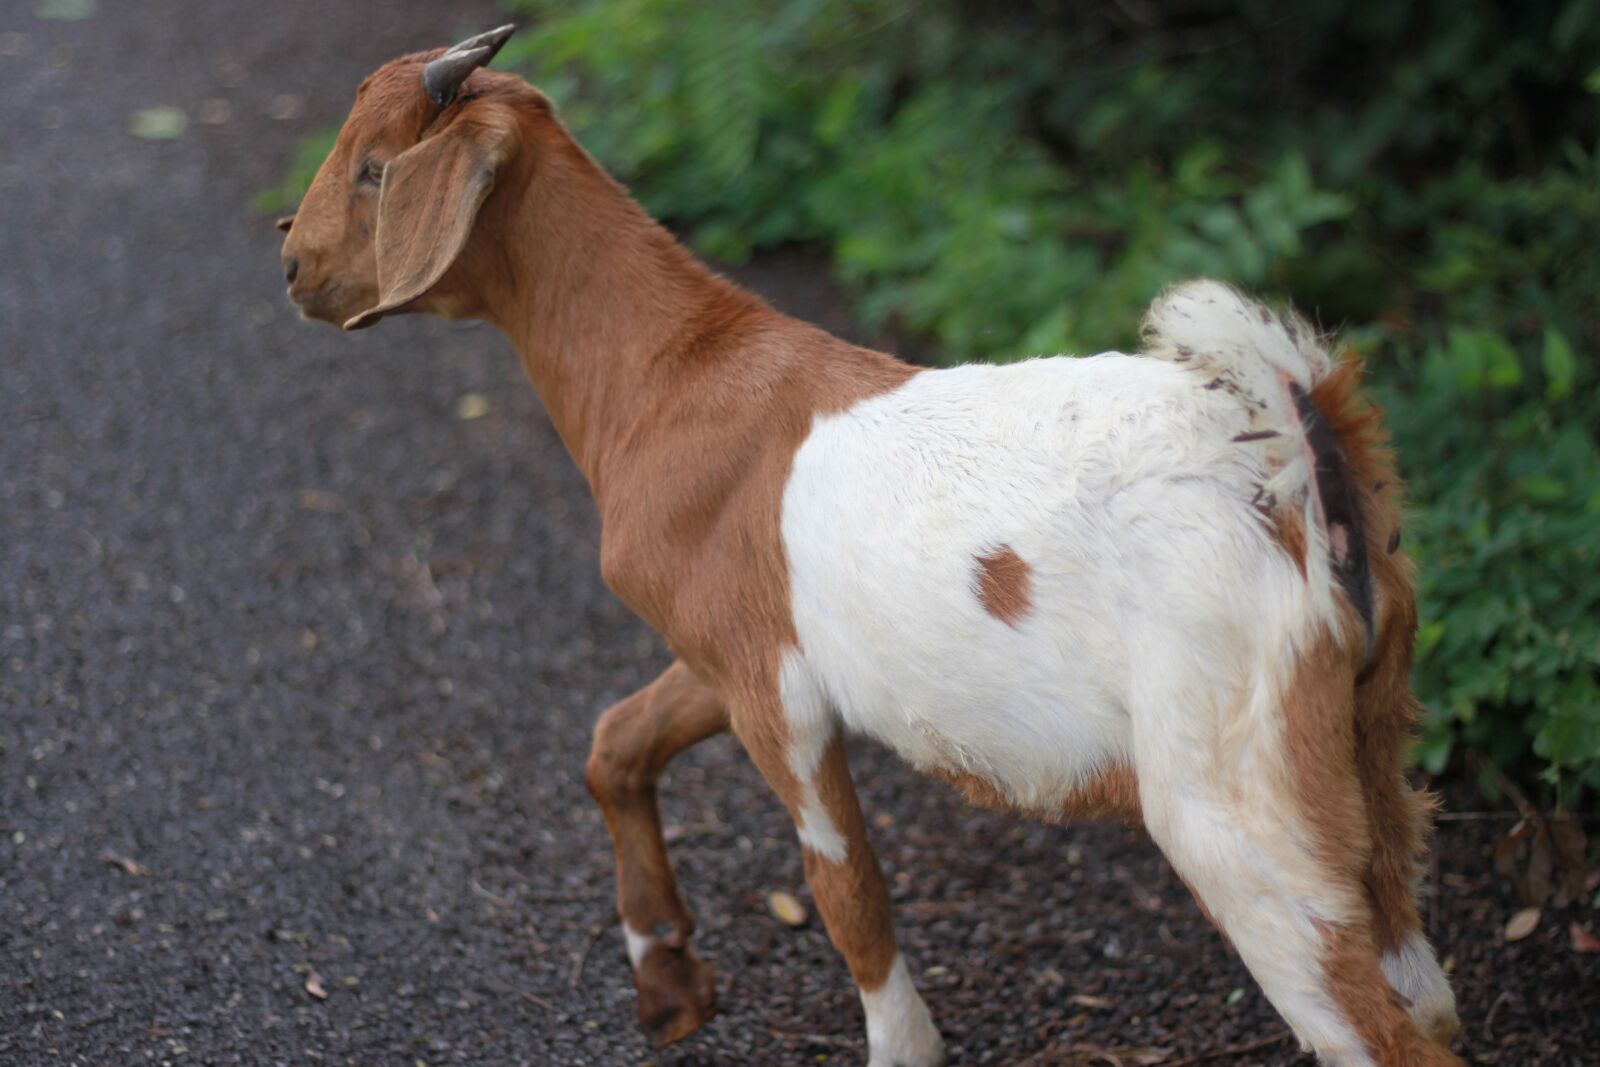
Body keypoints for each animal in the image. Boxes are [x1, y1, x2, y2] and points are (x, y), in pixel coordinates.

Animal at [279, 25, 1461, 1067]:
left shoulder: (778, 696)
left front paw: (902, 1044)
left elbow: (845, 886)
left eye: (375, 170)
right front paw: (667, 978)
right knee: (1423, 979)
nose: (290, 258)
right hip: (1365, 737)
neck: (676, 373)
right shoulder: (734, 644)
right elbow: (617, 739)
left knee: (1372, 1024)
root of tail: (1308, 478)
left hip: (1231, 781)